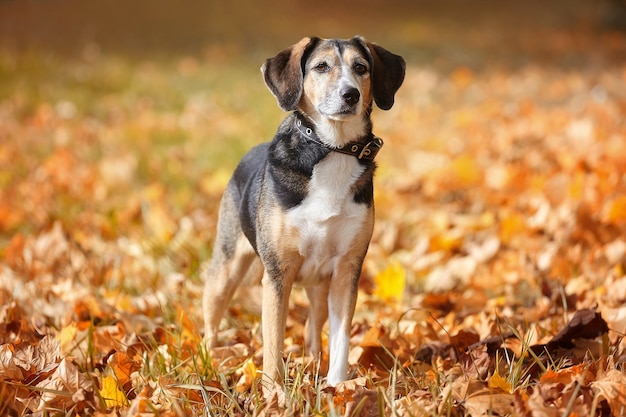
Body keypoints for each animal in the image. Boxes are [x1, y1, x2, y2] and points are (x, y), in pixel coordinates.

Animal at [202, 35, 402, 386]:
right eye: (321, 67)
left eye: (361, 67)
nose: (350, 94)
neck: (332, 150)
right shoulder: (277, 275)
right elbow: (273, 344)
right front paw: (274, 392)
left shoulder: (347, 271)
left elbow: (340, 340)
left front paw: (337, 388)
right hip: (225, 270)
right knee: (211, 320)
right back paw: (208, 363)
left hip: (319, 286)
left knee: (312, 328)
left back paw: (312, 363)